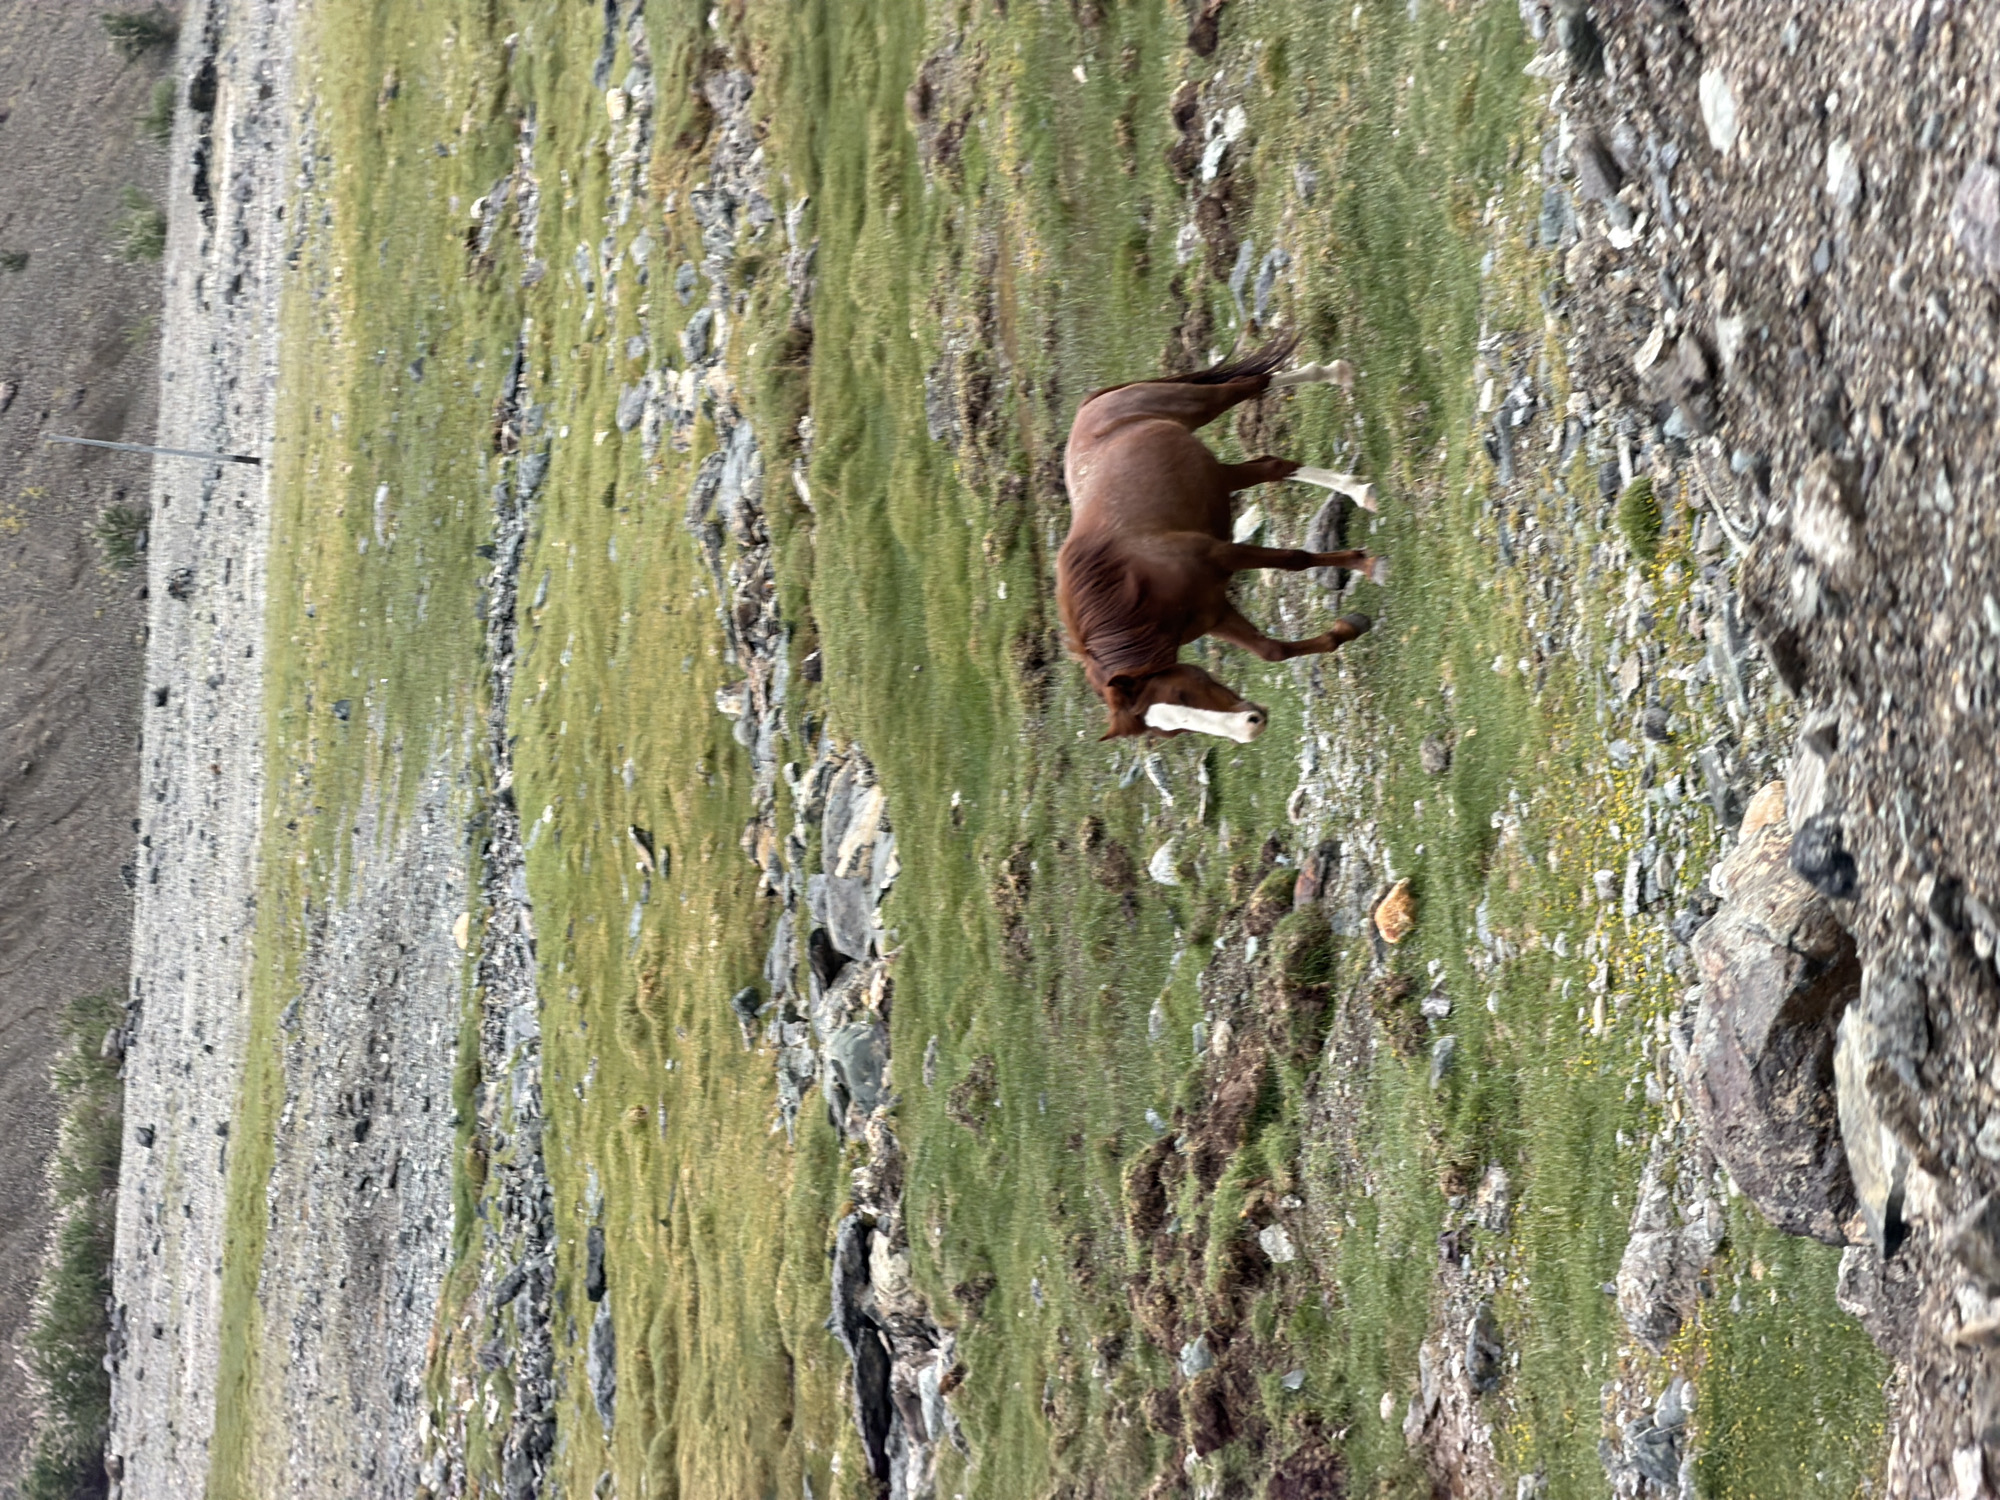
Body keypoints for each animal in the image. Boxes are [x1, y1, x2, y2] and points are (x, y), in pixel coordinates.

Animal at [1055, 338, 1387, 743]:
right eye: (1172, 732)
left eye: (1181, 693)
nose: (1251, 726)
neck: (1134, 590)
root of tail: (1089, 408)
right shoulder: (1214, 613)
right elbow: (1271, 651)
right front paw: (1348, 627)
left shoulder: (1223, 555)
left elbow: (1295, 559)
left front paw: (1367, 564)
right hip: (1219, 477)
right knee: (1274, 466)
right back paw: (1356, 488)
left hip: (1202, 404)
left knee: (1253, 384)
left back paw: (1336, 375)